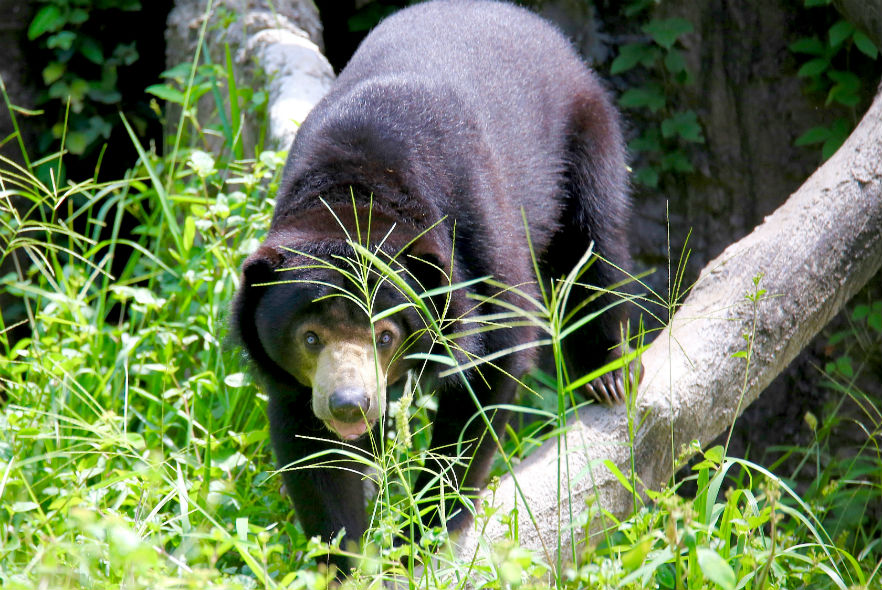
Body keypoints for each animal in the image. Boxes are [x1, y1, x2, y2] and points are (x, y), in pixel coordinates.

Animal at [234, 0, 632, 568]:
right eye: (310, 337)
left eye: (385, 335)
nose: (350, 404)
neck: (358, 188)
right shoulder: (298, 378)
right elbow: (312, 445)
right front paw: (346, 560)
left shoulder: (477, 234)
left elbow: (493, 364)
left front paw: (421, 535)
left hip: (584, 130)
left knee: (593, 239)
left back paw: (606, 375)